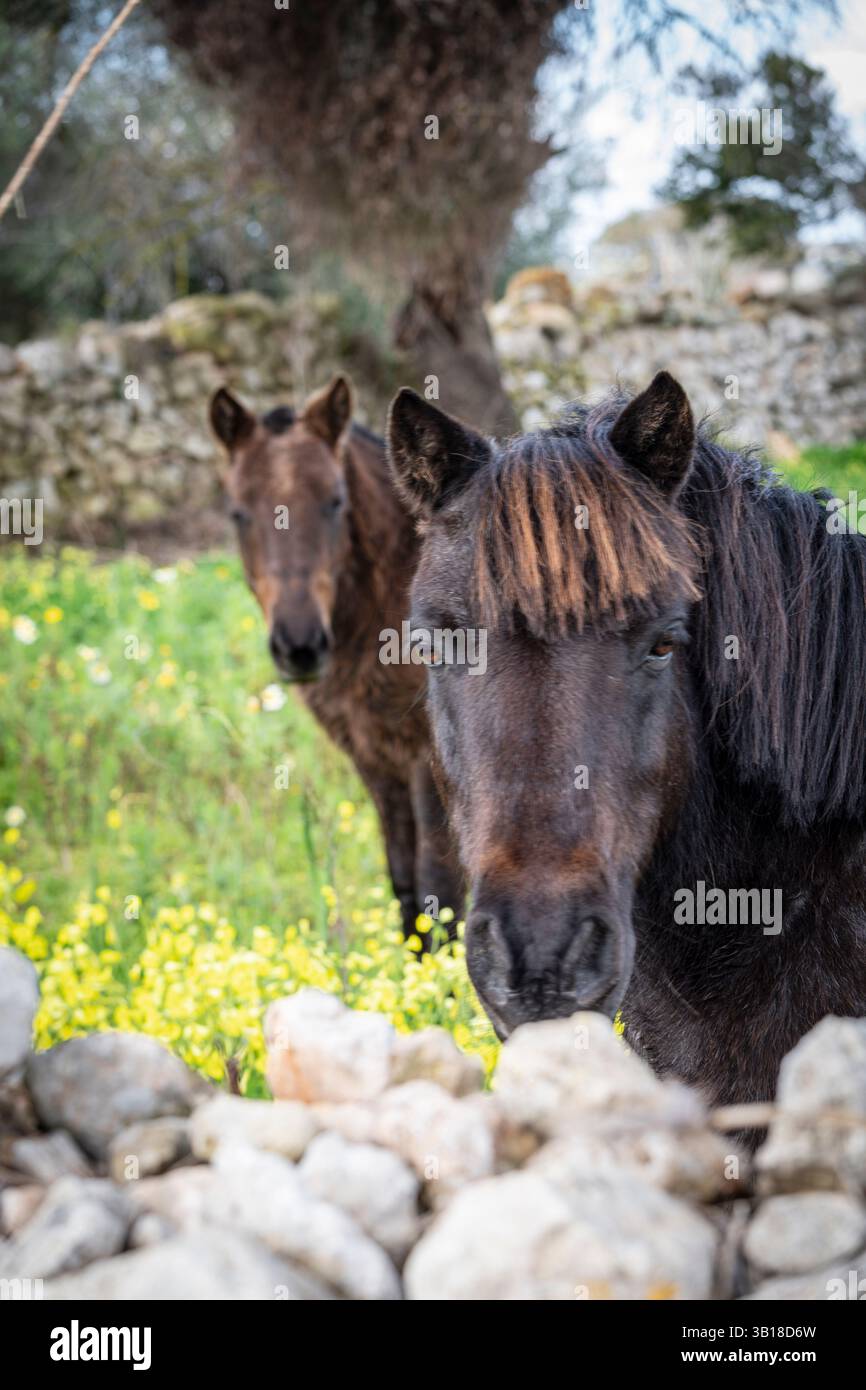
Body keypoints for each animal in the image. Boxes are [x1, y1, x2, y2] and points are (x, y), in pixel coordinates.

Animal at [210, 376, 463, 949]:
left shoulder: (426, 760)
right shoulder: (373, 758)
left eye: (335, 501)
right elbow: (405, 885)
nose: (300, 645)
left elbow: (439, 897)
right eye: (238, 513)